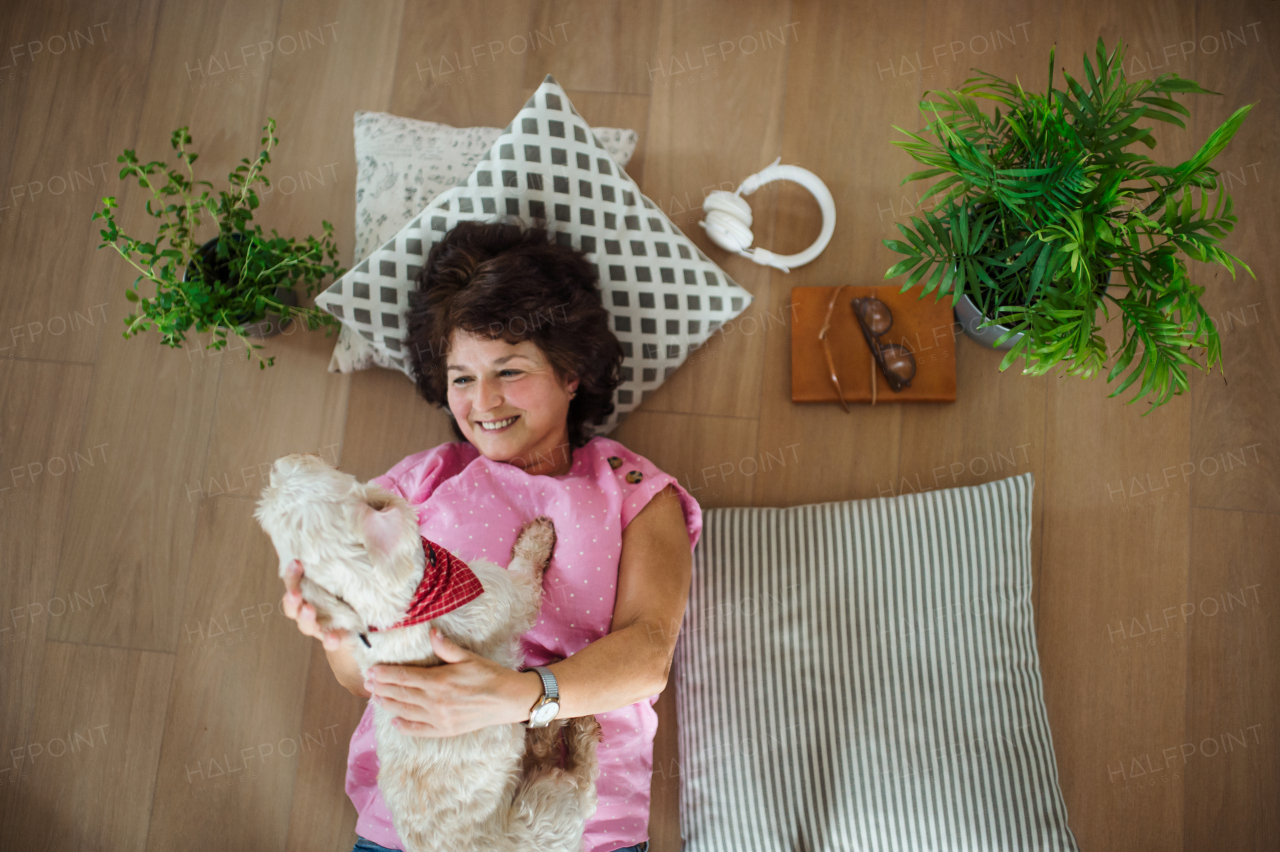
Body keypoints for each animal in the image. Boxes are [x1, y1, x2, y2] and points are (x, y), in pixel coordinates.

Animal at [257, 450, 606, 849]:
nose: (281, 460)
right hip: (548, 805)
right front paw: (538, 538)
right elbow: (525, 571)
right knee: (581, 782)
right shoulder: (508, 595)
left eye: (285, 481)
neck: (402, 608)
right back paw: (576, 732)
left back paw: (545, 733)